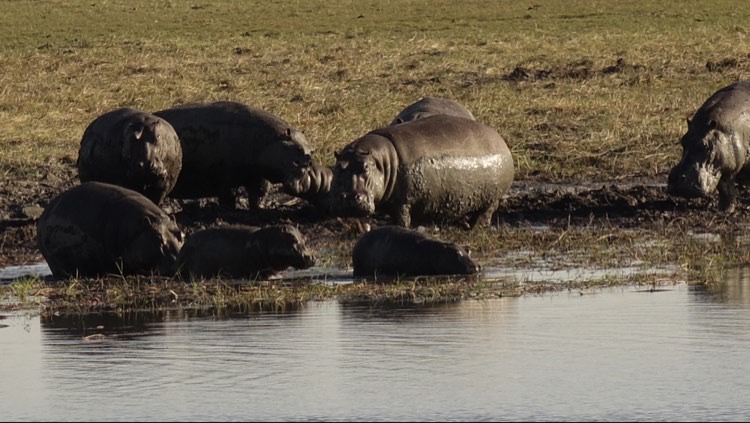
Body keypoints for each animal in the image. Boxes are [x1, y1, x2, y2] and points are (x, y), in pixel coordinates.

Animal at [156, 101, 314, 210]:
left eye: (310, 155)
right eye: (297, 150)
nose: (302, 186)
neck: (269, 140)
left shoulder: (259, 176)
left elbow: (259, 194)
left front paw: (260, 208)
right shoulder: (227, 177)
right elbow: (229, 196)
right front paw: (229, 209)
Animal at [330, 114, 516, 229]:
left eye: (366, 167)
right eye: (338, 167)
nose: (348, 197)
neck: (383, 161)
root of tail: (501, 140)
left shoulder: (404, 200)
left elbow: (402, 217)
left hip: (492, 198)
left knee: (485, 213)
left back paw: (473, 227)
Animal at [668, 80, 750, 214]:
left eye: (705, 145)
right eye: (682, 140)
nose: (676, 181)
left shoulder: (729, 169)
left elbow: (726, 188)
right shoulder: (727, 168)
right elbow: (725, 189)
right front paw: (724, 210)